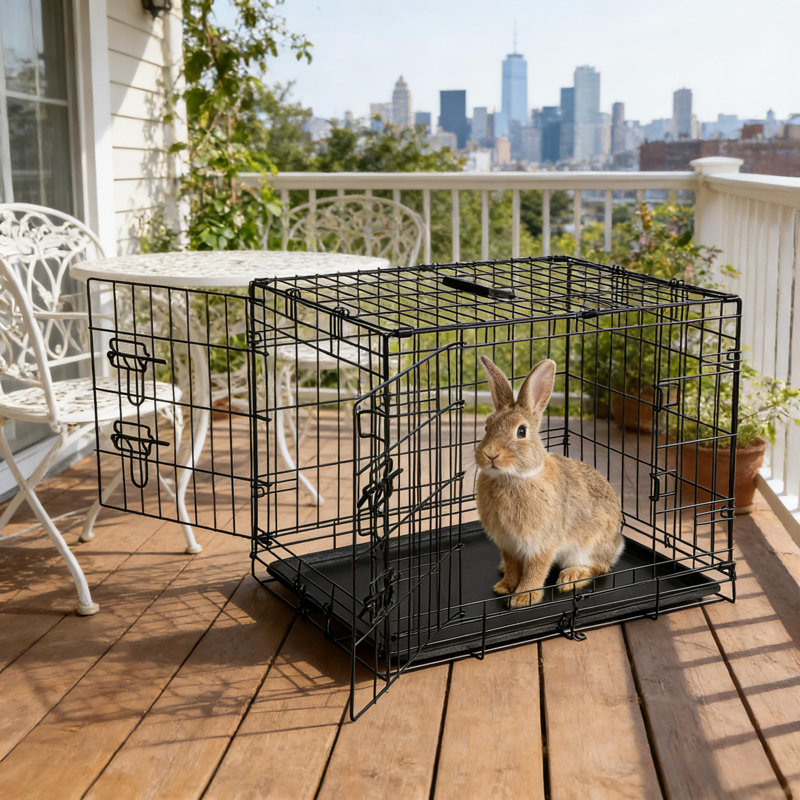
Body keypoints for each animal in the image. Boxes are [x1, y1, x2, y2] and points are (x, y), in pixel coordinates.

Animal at [475, 356, 624, 608]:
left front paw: (524, 597)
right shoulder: (508, 544)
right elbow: (513, 566)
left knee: (599, 567)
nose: (490, 454)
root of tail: (616, 546)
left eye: (521, 431)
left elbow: (536, 569)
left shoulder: (542, 543)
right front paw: (504, 586)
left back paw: (570, 577)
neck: (514, 477)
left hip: (587, 547)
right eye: (487, 426)